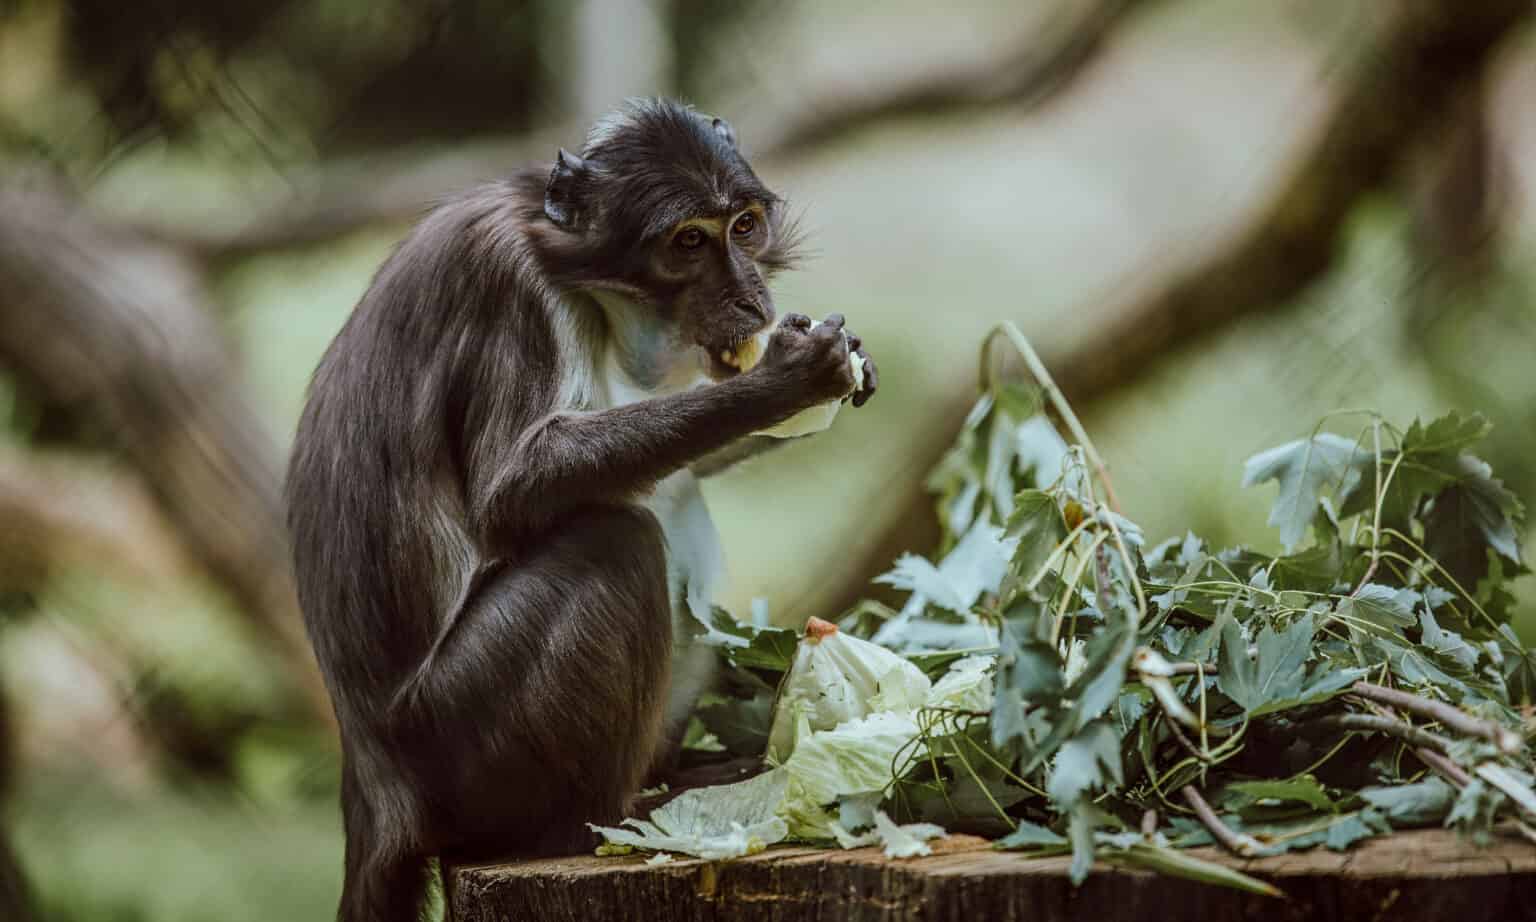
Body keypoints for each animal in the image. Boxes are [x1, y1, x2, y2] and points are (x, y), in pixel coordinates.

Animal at [285, 98, 877, 922]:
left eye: (744, 226)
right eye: (688, 242)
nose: (751, 298)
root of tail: (377, 787)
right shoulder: (505, 280)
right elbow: (512, 487)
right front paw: (786, 383)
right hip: (454, 732)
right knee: (614, 539)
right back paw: (610, 817)